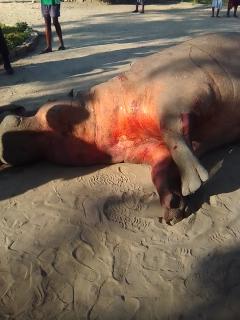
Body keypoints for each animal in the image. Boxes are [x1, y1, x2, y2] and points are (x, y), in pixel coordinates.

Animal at [0, 32, 240, 222]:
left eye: (47, 104)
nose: (12, 113)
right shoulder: (148, 149)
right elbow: (160, 169)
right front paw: (173, 209)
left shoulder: (176, 98)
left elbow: (175, 135)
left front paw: (193, 184)